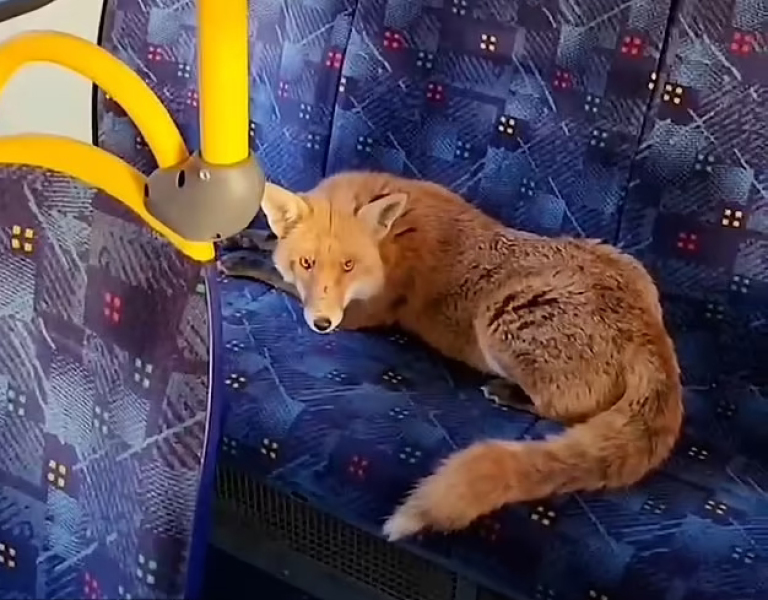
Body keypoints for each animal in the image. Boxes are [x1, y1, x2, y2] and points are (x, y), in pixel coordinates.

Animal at [222, 171, 683, 542]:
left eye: (349, 266)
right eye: (307, 262)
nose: (321, 324)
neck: (393, 237)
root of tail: (652, 330)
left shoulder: (361, 314)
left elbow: (271, 273)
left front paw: (242, 259)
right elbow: (270, 241)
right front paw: (240, 235)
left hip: (498, 319)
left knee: (565, 407)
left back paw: (510, 394)